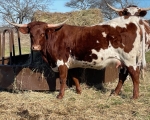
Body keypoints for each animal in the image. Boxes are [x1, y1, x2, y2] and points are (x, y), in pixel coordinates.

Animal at [5, 4, 150, 99]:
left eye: (42, 34)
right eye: (31, 34)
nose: (35, 47)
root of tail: (134, 22)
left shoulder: (62, 62)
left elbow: (63, 79)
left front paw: (60, 95)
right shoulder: (71, 63)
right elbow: (74, 77)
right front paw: (79, 92)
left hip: (129, 59)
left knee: (135, 75)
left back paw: (135, 96)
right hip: (123, 61)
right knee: (123, 76)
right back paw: (114, 93)